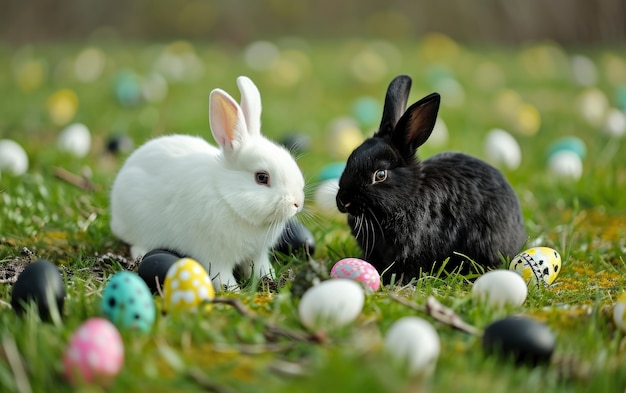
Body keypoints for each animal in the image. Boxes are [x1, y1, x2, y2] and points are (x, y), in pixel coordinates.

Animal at [109, 76, 304, 288]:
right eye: (262, 177)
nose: (297, 203)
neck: (227, 197)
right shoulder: (215, 257)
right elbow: (222, 276)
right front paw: (233, 290)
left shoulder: (257, 255)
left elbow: (260, 268)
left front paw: (269, 279)